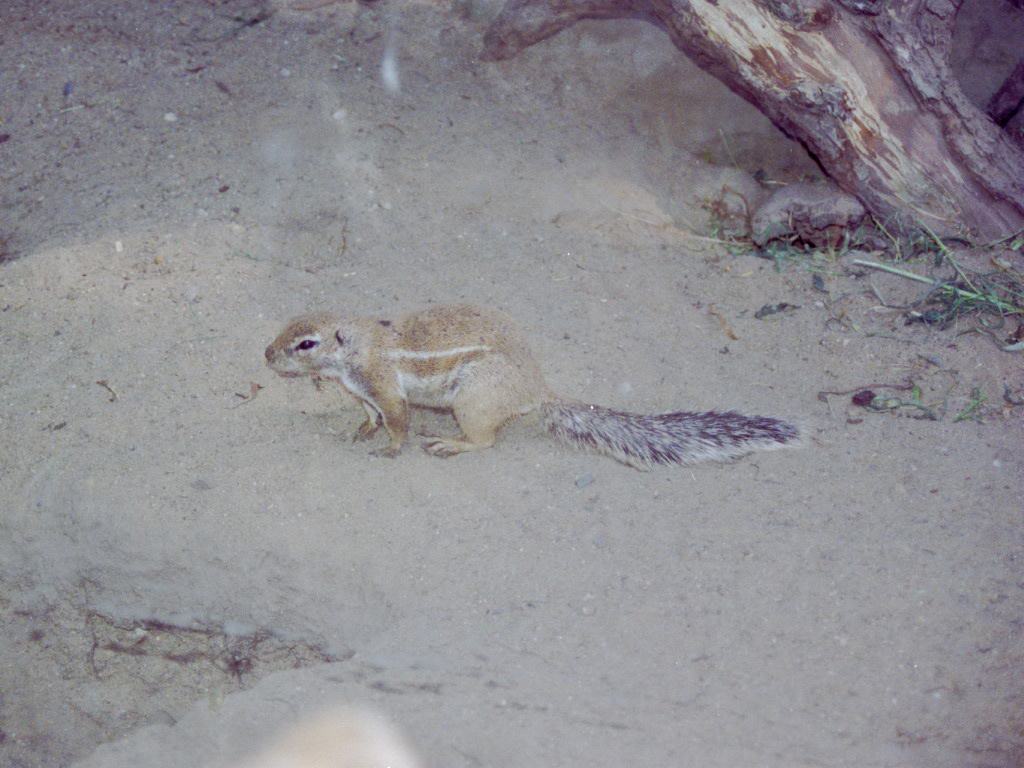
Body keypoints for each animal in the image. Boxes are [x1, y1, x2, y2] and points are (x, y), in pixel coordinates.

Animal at [264, 303, 803, 470]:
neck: (357, 349)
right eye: (287, 326)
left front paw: (391, 448)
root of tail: (536, 390)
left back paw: (450, 443)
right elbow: (370, 415)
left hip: (472, 400)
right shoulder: (363, 391)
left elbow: (396, 419)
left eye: (306, 344)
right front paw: (360, 431)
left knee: (486, 441)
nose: (266, 356)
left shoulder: (383, 385)